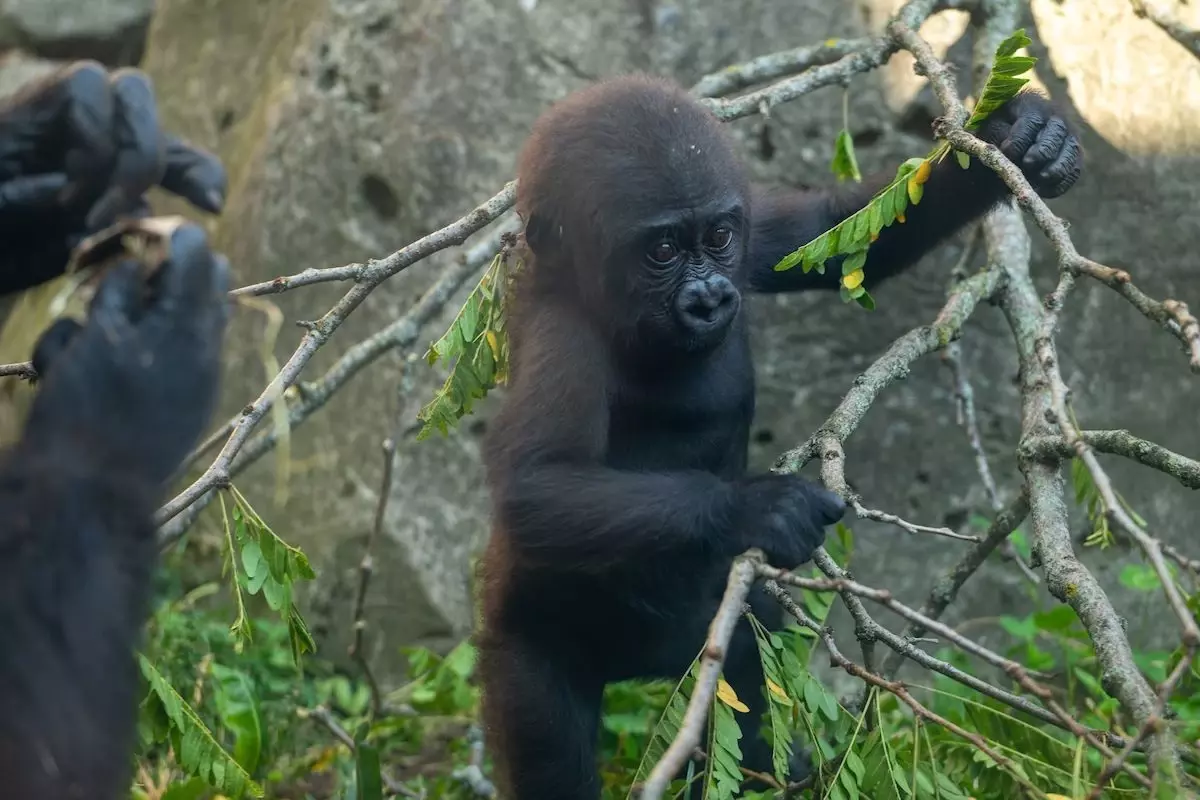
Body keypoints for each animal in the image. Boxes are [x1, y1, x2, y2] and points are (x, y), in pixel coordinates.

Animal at [475, 74, 1080, 800]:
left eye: (718, 236)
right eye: (662, 251)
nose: (709, 296)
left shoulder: (757, 231)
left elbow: (841, 236)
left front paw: (1014, 139)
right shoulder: (561, 336)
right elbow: (534, 485)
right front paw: (757, 507)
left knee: (744, 667)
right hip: (526, 646)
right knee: (550, 752)